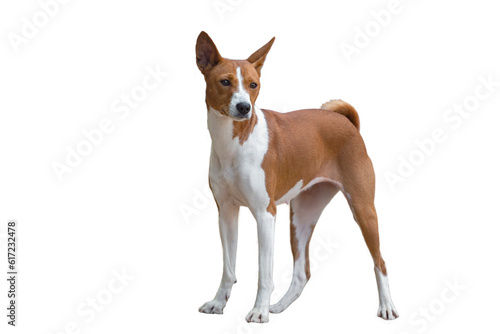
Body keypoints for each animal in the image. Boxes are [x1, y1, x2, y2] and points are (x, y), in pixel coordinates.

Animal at [195, 32, 398, 324]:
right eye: (225, 82)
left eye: (253, 85)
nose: (244, 107)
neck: (232, 143)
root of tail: (347, 123)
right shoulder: (227, 212)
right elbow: (228, 269)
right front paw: (219, 303)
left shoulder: (265, 214)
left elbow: (264, 273)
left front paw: (258, 311)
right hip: (301, 215)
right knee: (303, 273)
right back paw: (278, 306)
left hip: (363, 209)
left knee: (380, 262)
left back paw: (387, 306)